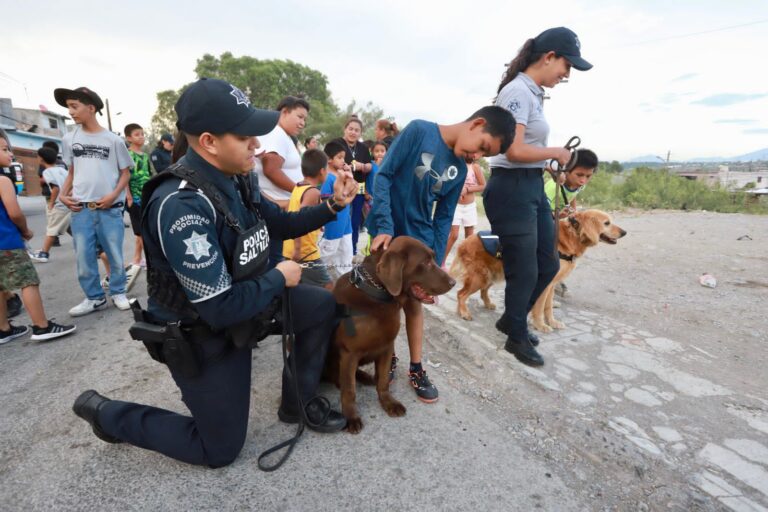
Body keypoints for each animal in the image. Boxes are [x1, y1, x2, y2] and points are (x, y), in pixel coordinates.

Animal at [324, 236, 456, 432]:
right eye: (425, 262)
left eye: (433, 258)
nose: (454, 282)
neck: (377, 296)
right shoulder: (349, 353)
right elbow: (349, 391)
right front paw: (351, 417)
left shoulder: (386, 347)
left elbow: (383, 381)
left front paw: (388, 403)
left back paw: (364, 376)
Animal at [450, 209, 624, 332]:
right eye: (607, 223)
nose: (624, 232)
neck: (571, 236)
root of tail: (464, 242)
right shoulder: (545, 282)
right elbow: (540, 307)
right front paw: (540, 326)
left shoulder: (552, 284)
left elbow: (548, 307)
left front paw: (552, 322)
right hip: (480, 277)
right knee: (461, 294)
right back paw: (464, 312)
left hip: (491, 275)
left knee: (482, 291)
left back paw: (487, 304)